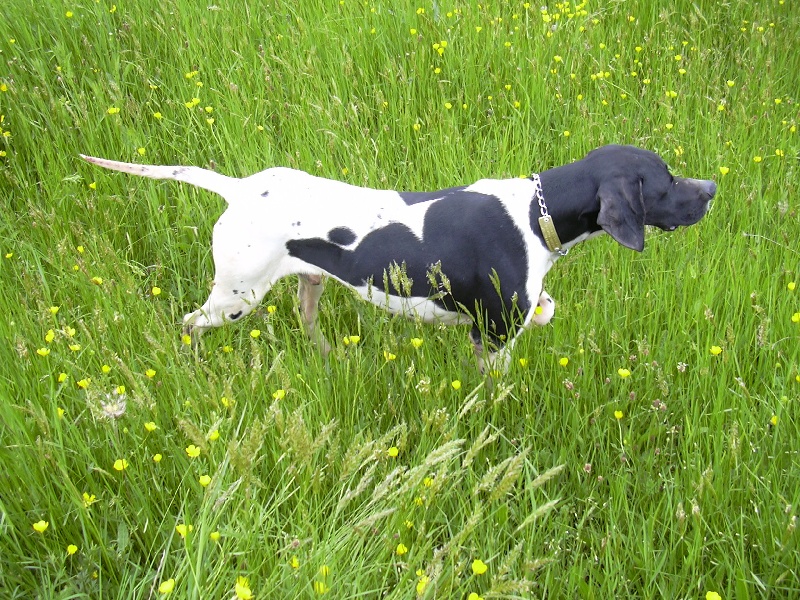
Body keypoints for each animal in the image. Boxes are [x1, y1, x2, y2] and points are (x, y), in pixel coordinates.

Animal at [81, 145, 716, 370]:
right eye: (666, 180)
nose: (711, 189)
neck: (536, 215)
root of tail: (239, 188)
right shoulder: (492, 340)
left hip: (308, 283)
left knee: (308, 325)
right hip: (236, 297)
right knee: (189, 324)